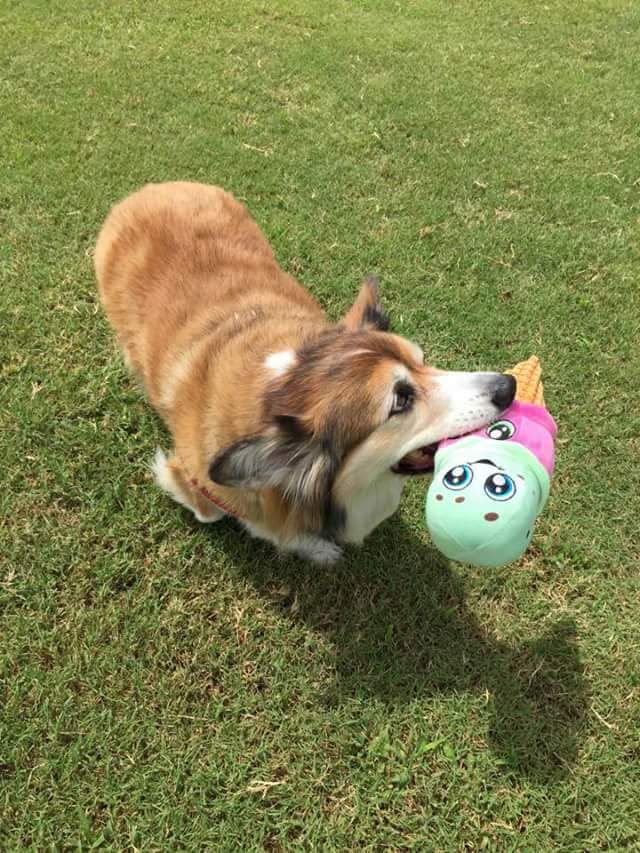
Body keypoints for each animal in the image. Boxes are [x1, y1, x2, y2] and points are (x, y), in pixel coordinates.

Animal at [95, 183, 516, 564]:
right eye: (401, 400)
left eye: (423, 359)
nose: (508, 386)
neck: (281, 386)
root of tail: (149, 190)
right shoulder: (201, 480)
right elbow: (215, 513)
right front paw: (310, 546)